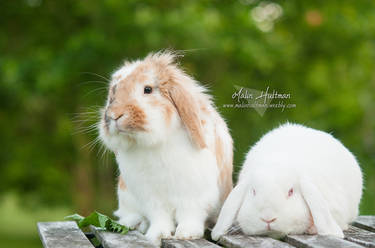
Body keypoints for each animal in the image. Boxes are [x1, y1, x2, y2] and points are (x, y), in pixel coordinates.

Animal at [98, 51, 234, 245]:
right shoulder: (151, 198)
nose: (114, 115)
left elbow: (190, 215)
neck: (154, 143)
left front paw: (186, 234)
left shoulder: (194, 195)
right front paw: (158, 235)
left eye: (148, 89)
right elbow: (159, 217)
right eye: (113, 93)